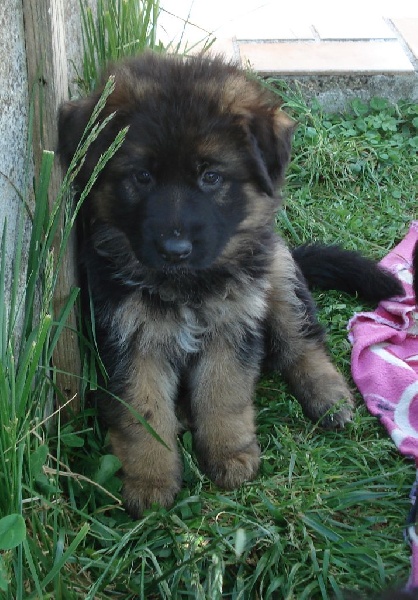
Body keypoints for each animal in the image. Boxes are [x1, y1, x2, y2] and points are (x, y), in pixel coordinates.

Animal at [58, 54, 402, 516]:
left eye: (211, 177)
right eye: (142, 176)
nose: (175, 249)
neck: (186, 286)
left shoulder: (234, 324)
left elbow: (224, 393)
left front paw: (229, 454)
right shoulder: (128, 339)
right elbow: (142, 413)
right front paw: (150, 479)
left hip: (278, 274)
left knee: (302, 342)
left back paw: (328, 395)